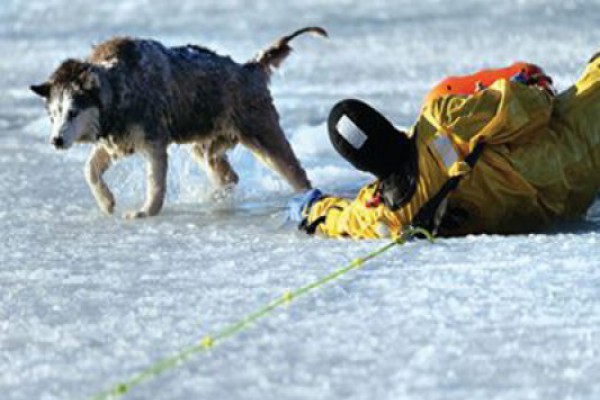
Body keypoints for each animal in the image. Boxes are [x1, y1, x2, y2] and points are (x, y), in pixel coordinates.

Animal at [29, 26, 326, 219]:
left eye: (73, 112)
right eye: (53, 115)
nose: (56, 140)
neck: (118, 88)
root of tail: (250, 67)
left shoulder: (152, 139)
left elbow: (156, 182)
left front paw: (146, 211)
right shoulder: (117, 138)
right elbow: (89, 169)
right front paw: (106, 202)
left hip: (260, 129)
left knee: (295, 171)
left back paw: (307, 197)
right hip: (206, 142)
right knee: (228, 175)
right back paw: (217, 197)